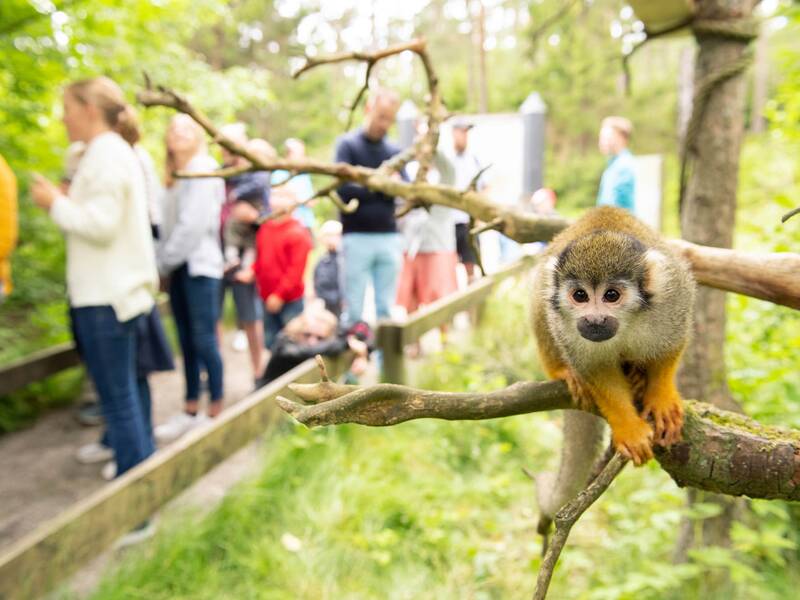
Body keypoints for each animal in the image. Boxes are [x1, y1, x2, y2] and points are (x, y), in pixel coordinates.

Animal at [532, 206, 692, 464]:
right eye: (580, 295)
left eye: (612, 295)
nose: (594, 320)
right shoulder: (565, 327)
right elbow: (597, 370)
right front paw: (629, 428)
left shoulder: (673, 296)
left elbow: (671, 345)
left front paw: (661, 398)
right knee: (539, 300)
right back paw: (561, 370)